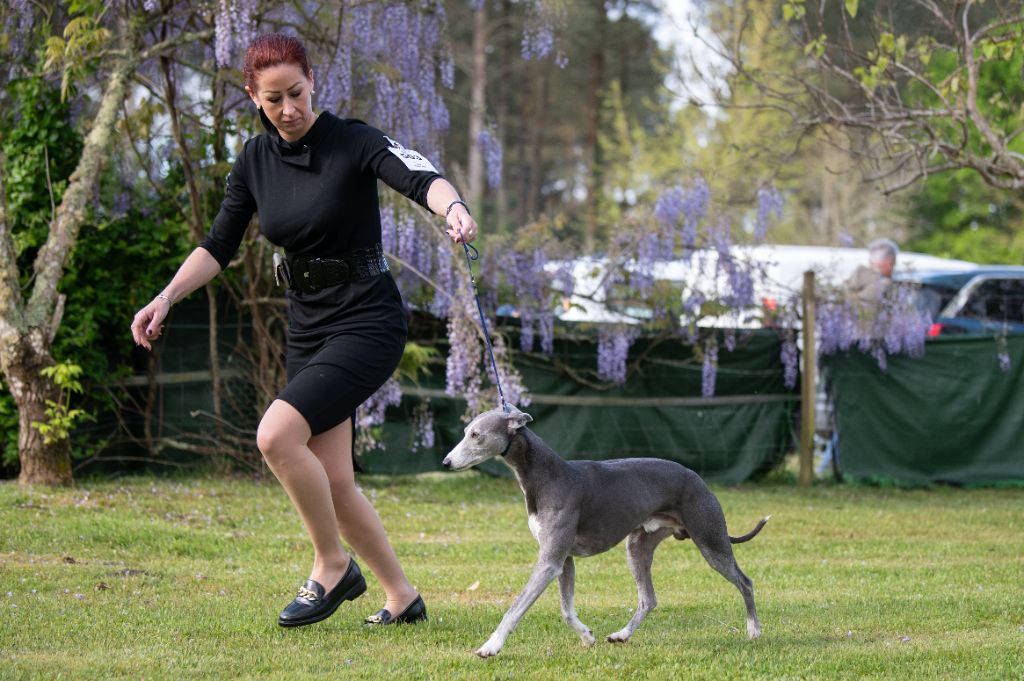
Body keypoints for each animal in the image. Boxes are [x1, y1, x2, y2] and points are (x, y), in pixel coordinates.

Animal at [442, 405, 770, 655]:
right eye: (466, 431)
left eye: (476, 435)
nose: (446, 462)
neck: (547, 476)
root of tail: (698, 479)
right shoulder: (564, 560)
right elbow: (566, 610)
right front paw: (587, 636)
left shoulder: (549, 562)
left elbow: (515, 608)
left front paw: (491, 646)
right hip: (638, 546)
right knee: (648, 599)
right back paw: (622, 635)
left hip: (711, 541)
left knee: (745, 582)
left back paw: (754, 631)